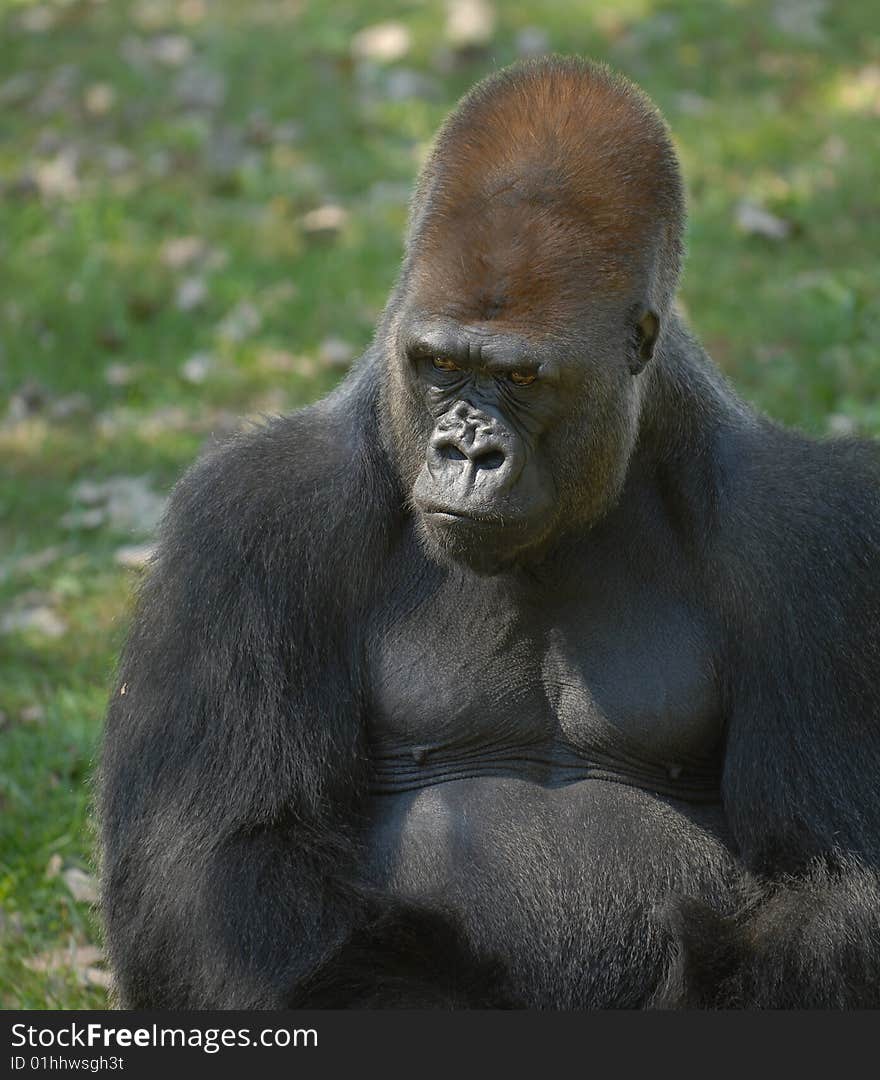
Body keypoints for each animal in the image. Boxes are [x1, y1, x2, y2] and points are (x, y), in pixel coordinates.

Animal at [99, 56, 880, 1002]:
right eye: (440, 365)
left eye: (520, 376)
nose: (468, 450)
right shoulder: (249, 522)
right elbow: (217, 866)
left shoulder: (811, 539)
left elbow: (837, 881)